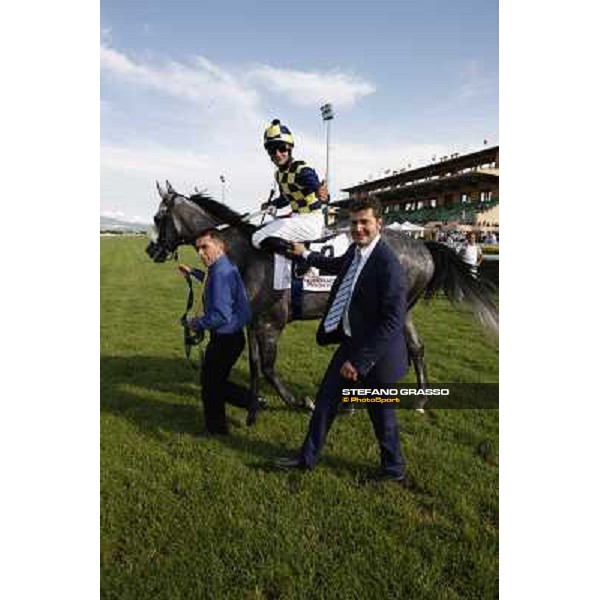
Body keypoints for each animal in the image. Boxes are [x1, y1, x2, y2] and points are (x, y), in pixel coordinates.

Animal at [148, 180, 500, 410]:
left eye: (157, 218)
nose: (151, 249)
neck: (247, 254)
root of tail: (422, 244)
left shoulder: (270, 323)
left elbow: (268, 368)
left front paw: (300, 401)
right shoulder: (253, 322)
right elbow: (255, 364)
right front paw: (255, 399)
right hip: (404, 310)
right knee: (416, 347)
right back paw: (419, 399)